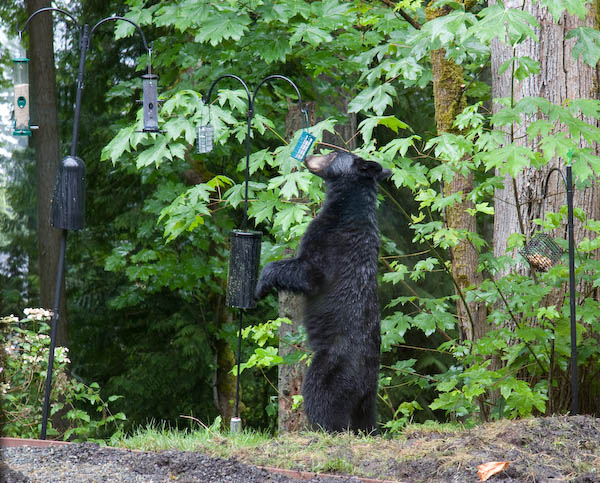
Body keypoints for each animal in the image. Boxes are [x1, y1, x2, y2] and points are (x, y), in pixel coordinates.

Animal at [255, 151, 392, 434]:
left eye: (332, 153)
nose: (308, 154)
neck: (348, 207)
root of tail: (365, 380)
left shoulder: (329, 242)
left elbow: (307, 273)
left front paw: (260, 286)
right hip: (369, 398)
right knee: (365, 418)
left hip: (331, 368)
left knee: (321, 398)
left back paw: (321, 429)